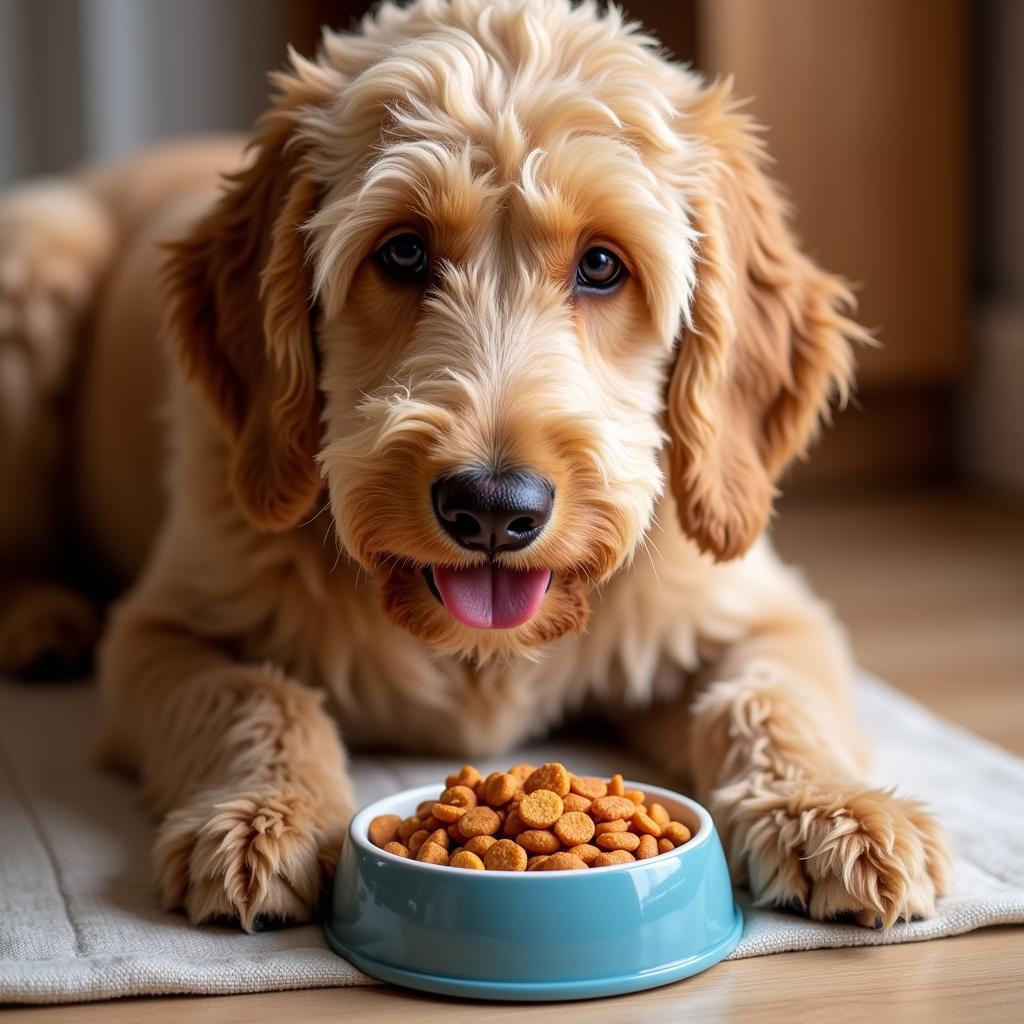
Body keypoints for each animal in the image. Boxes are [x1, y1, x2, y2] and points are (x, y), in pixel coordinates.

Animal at [0, 0, 942, 929]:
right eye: (403, 252)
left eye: (602, 264)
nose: (492, 507)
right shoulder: (157, 634)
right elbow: (256, 697)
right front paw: (263, 815)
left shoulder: (768, 613)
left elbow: (770, 697)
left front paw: (835, 809)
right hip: (37, 258)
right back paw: (40, 616)